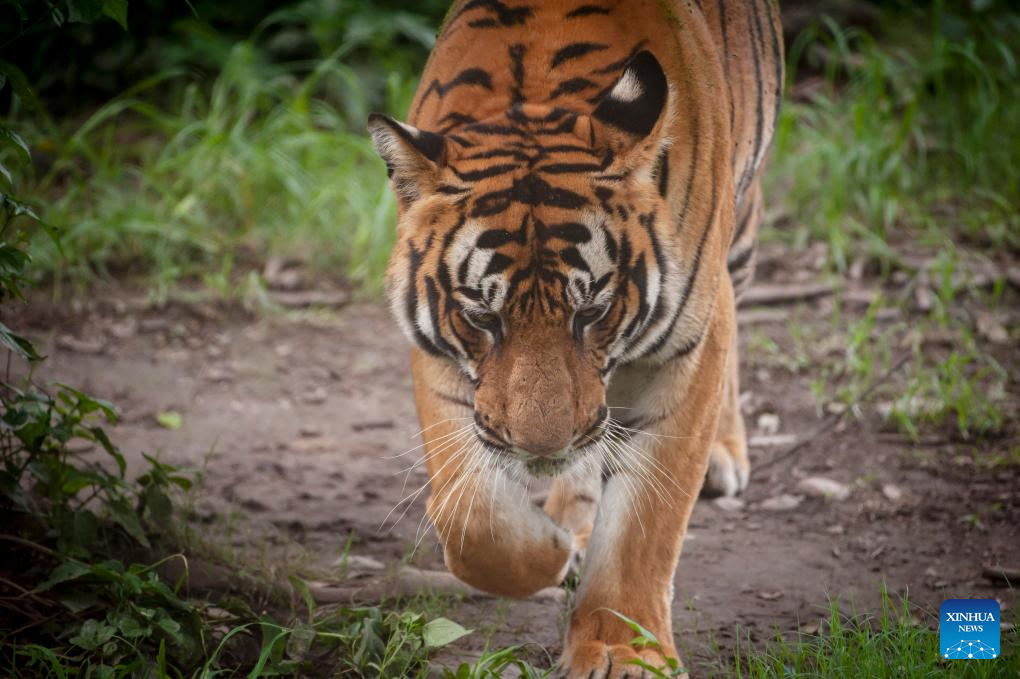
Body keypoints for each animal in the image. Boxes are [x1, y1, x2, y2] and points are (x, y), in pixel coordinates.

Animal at [371, 0, 783, 672]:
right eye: (483, 318)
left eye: (591, 312)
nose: (542, 447)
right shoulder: (439, 355)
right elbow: (470, 513)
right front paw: (554, 550)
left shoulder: (689, 347)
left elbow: (646, 526)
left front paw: (624, 653)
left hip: (740, 234)